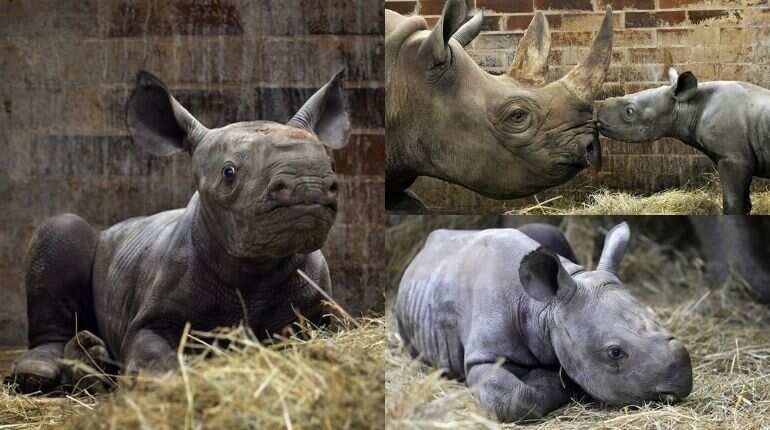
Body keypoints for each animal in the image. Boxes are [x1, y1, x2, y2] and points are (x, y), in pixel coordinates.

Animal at [8, 70, 350, 393]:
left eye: (331, 165)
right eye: (229, 173)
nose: (308, 185)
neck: (254, 268)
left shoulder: (320, 310)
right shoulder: (152, 318)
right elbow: (152, 355)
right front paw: (164, 383)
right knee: (62, 228)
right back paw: (40, 374)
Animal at [395, 222, 692, 422]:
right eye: (615, 353)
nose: (682, 381)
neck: (544, 307)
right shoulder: (482, 357)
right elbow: (514, 398)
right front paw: (552, 382)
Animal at [595, 67, 770, 214]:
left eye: (629, 111)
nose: (597, 116)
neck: (688, 106)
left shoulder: (734, 158)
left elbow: (733, 204)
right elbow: (744, 203)